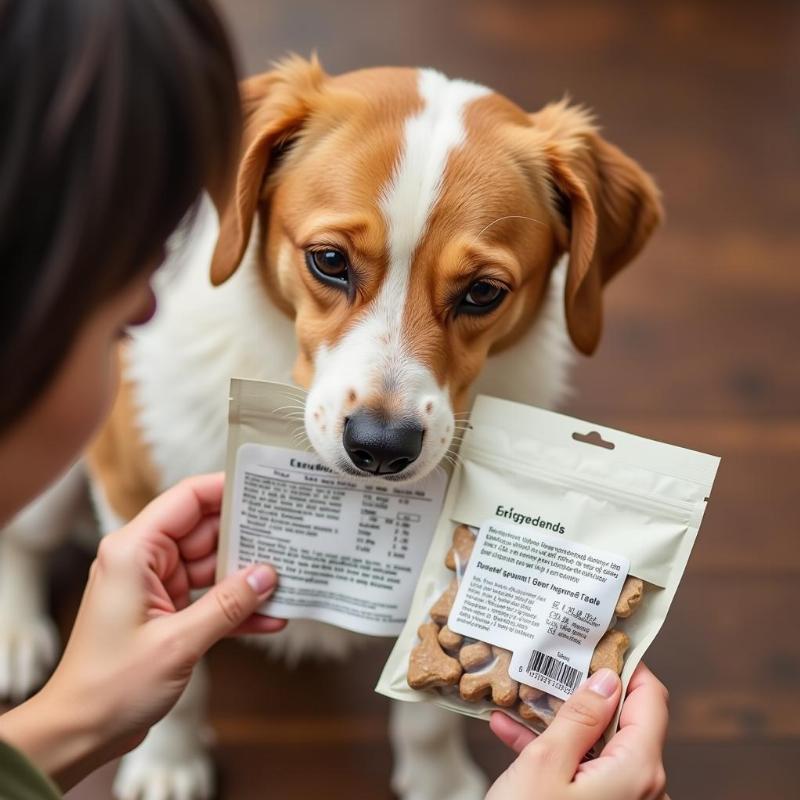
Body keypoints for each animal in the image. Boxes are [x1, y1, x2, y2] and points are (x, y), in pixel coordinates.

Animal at [0, 57, 660, 800]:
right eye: (329, 261)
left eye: (484, 292)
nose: (381, 449)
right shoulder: (130, 491)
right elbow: (178, 674)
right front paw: (166, 759)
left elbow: (426, 700)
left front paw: (439, 776)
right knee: (22, 537)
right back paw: (15, 632)